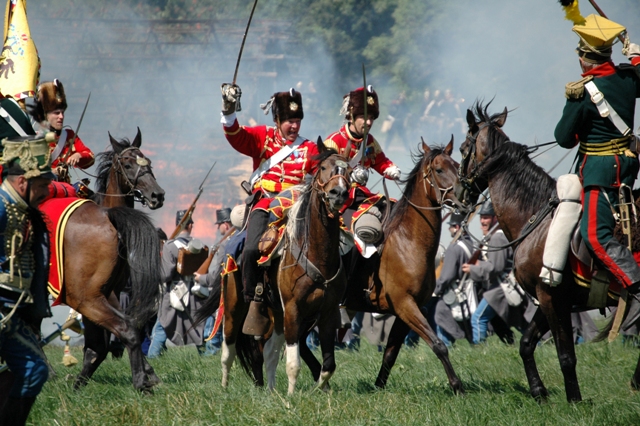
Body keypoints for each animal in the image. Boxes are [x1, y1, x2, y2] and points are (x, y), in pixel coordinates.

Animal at [51, 128, 164, 392]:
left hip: (85, 298)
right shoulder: (109, 293)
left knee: (119, 334)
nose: (157, 195)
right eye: (127, 163)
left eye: (148, 162)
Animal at [202, 143, 350, 392]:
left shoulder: (328, 314)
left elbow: (328, 366)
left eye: (348, 170)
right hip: (234, 307)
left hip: (276, 314)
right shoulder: (293, 311)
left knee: (269, 352)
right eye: (323, 167)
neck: (315, 253)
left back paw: (270, 390)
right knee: (228, 350)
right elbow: (293, 363)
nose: (337, 193)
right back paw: (225, 387)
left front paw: (320, 388)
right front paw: (291, 397)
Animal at [330, 139, 464, 392]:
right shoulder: (406, 306)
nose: (463, 197)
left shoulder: (408, 310)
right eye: (439, 170)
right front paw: (457, 386)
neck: (409, 242)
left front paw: (378, 386)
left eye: (457, 165)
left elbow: (391, 353)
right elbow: (439, 344)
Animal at [456, 101, 640, 402]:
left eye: (462, 149)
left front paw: (574, 400)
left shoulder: (551, 298)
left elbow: (565, 355)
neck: (535, 216)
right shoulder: (548, 298)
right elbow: (526, 343)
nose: (458, 193)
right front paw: (538, 390)